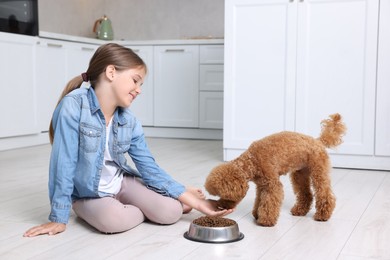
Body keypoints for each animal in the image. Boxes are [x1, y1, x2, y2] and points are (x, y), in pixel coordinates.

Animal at [206, 113, 346, 225]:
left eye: (226, 195)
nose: (221, 206)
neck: (252, 161)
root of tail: (319, 141)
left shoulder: (272, 184)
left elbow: (269, 202)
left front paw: (265, 220)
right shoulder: (261, 185)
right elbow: (259, 200)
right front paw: (256, 214)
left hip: (318, 172)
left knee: (325, 194)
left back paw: (322, 215)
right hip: (300, 174)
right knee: (306, 194)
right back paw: (299, 210)